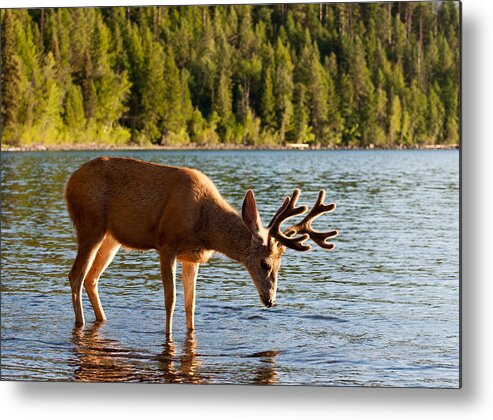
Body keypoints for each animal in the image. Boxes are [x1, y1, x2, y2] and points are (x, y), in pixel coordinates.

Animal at [63, 156, 336, 336]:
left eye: (280, 266)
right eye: (265, 264)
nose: (270, 300)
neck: (205, 228)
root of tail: (69, 183)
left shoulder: (191, 256)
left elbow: (190, 303)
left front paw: (191, 331)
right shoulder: (166, 244)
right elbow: (171, 299)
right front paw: (167, 335)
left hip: (112, 238)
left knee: (91, 278)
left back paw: (102, 319)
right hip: (91, 224)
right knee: (76, 275)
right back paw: (80, 323)